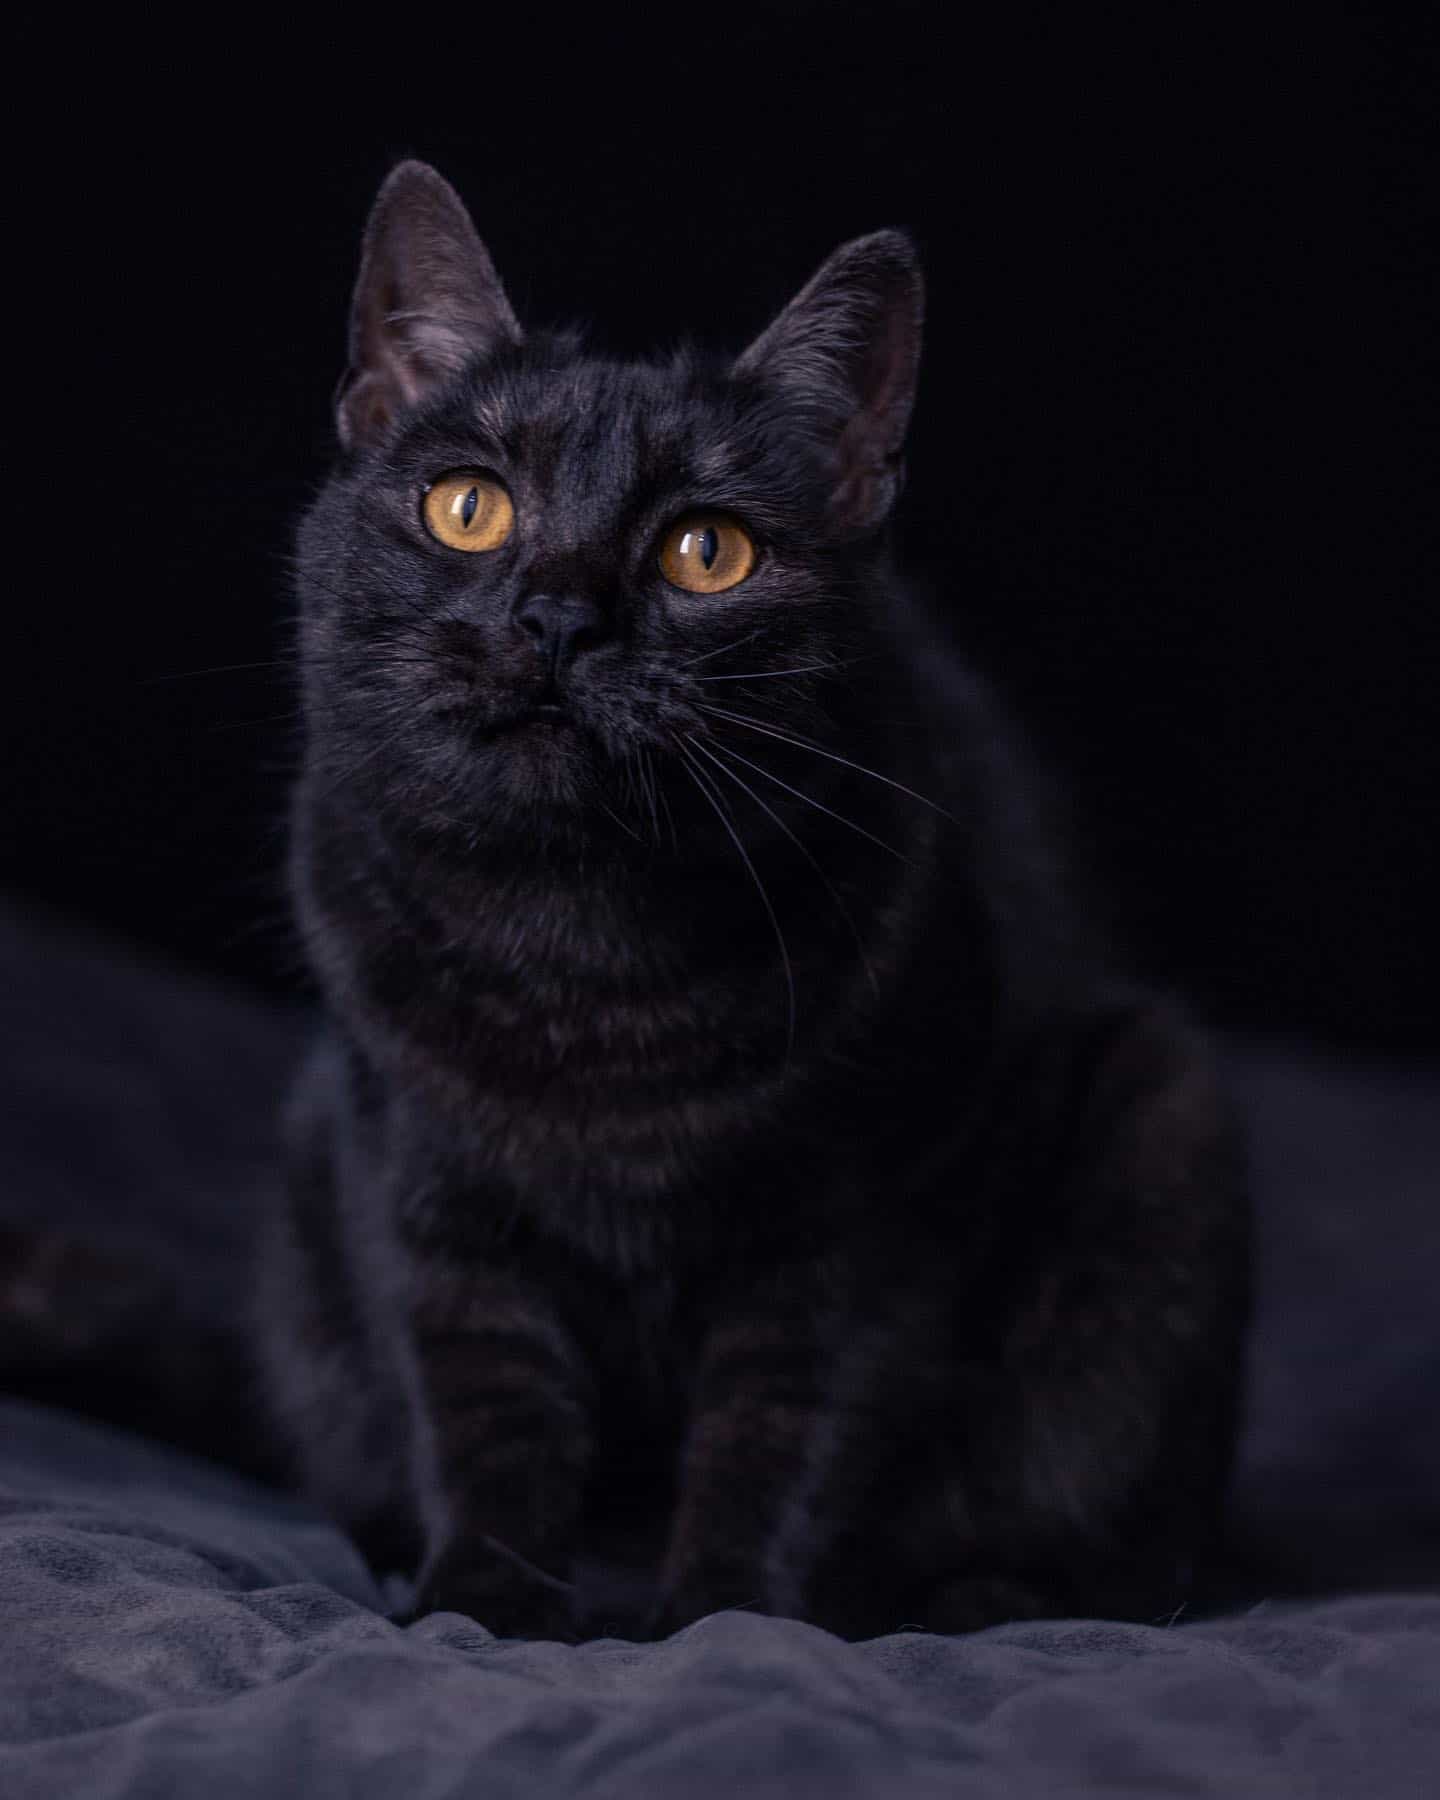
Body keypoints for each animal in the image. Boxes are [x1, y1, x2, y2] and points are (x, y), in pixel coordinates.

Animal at [259, 162, 1245, 1641]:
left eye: (706, 552)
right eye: (468, 509)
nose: (558, 617)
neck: (581, 963)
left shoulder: (862, 1231)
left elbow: (785, 1443)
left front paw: (728, 1624)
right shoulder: (430, 1208)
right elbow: (484, 1419)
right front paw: (481, 1609)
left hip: (1163, 1127)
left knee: (1120, 1543)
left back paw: (988, 1594)